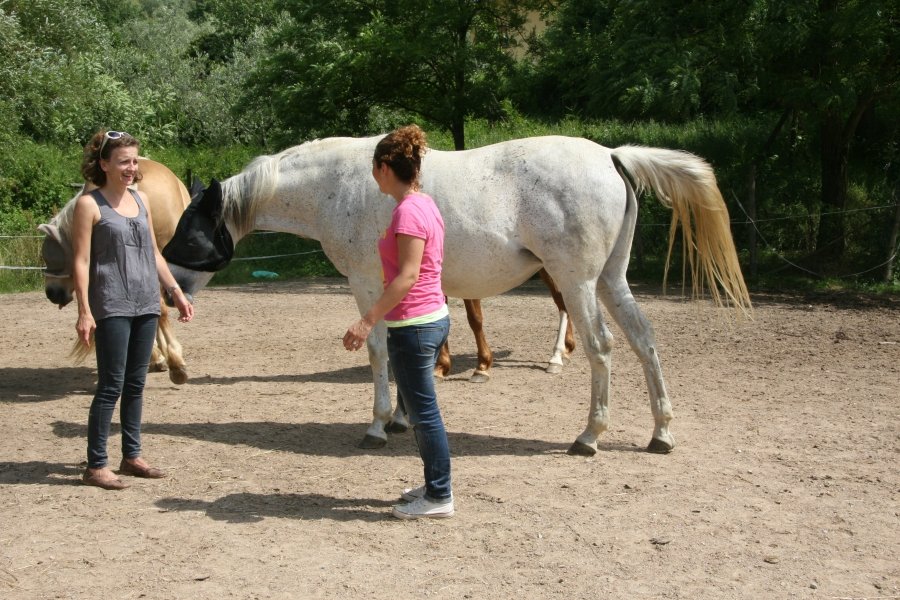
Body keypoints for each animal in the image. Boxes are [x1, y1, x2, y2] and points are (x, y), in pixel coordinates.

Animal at [163, 135, 752, 454]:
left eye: (190, 232)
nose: (170, 294)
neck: (336, 185)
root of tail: (611, 154)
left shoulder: (367, 284)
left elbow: (378, 351)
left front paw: (378, 425)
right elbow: (402, 350)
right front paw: (403, 418)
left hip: (578, 282)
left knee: (602, 348)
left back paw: (589, 435)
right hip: (611, 279)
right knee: (645, 341)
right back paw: (661, 432)